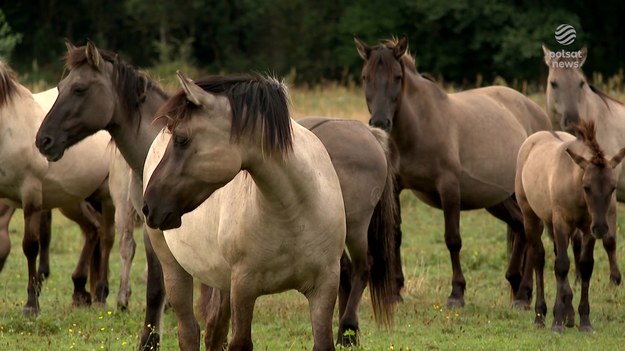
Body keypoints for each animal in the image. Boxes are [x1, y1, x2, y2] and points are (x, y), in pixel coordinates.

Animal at [142, 72, 346, 351]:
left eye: (181, 139)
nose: (149, 205)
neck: (294, 213)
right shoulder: (244, 287)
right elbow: (240, 341)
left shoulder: (325, 285)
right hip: (174, 268)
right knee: (189, 332)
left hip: (222, 281)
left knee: (214, 331)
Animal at [356, 34, 552, 306]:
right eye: (365, 77)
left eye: (397, 77)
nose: (379, 123)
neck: (419, 127)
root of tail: (537, 112)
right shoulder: (395, 187)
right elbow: (395, 234)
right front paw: (396, 290)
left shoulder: (449, 188)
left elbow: (453, 239)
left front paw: (457, 292)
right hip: (498, 199)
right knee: (521, 227)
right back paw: (517, 284)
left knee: (532, 231)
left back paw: (523, 293)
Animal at [540, 44, 624, 286]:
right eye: (554, 83)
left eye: (581, 83)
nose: (572, 121)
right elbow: (577, 239)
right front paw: (577, 277)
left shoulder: (610, 195)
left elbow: (609, 239)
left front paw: (615, 279)